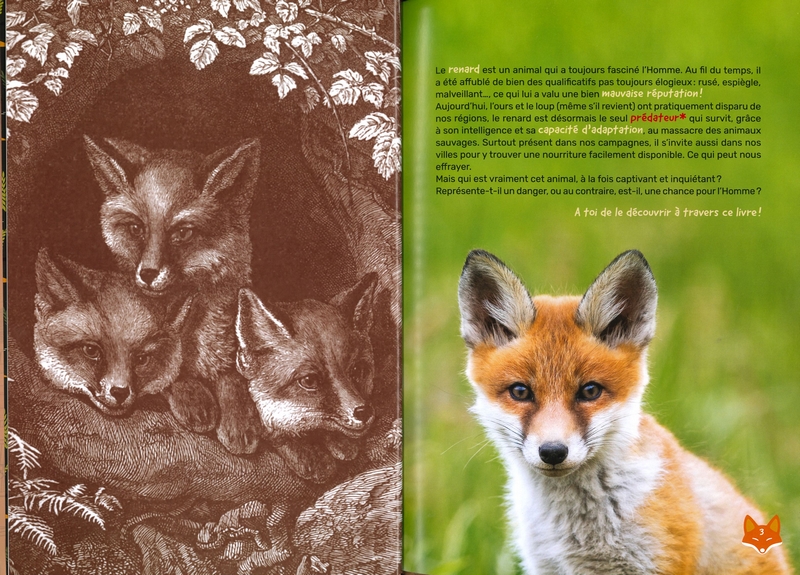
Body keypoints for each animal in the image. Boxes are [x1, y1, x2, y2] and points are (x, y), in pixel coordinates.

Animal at [84, 136, 263, 454]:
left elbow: (233, 376)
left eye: (182, 233)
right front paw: (192, 396)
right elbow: (166, 370)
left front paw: (240, 418)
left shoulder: (224, 343)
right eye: (136, 228)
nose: (147, 274)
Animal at [234, 274, 378, 483]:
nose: (363, 412)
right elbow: (276, 433)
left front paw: (339, 443)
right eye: (309, 381)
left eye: (357, 370)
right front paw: (310, 457)